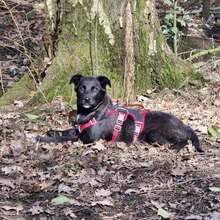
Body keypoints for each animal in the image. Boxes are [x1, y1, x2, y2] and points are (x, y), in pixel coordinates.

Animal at [37, 75, 204, 152]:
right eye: (82, 88)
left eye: (95, 89)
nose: (86, 99)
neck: (93, 112)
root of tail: (184, 125)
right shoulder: (79, 130)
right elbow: (67, 131)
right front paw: (52, 131)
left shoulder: (86, 139)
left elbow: (63, 138)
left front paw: (41, 138)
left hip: (154, 134)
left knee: (184, 141)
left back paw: (175, 147)